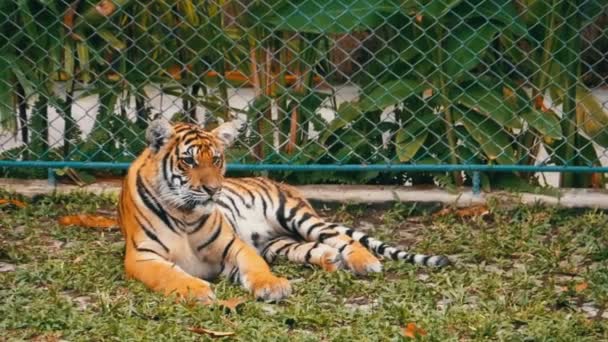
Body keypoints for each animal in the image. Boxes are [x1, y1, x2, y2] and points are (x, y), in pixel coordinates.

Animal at [120, 117, 452, 302]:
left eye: (215, 159)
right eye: (188, 161)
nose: (214, 189)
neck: (185, 214)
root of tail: (288, 187)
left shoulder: (233, 245)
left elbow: (255, 267)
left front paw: (273, 286)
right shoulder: (142, 257)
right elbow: (168, 275)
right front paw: (195, 290)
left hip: (295, 216)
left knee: (341, 237)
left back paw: (364, 261)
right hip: (277, 243)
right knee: (313, 247)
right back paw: (331, 259)